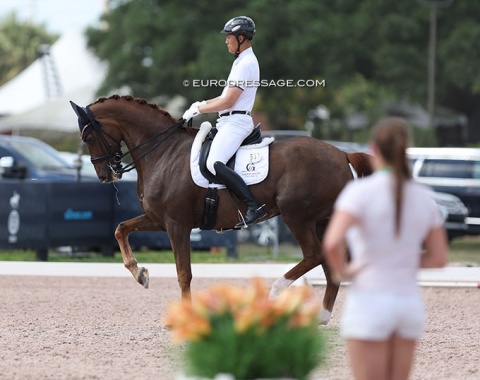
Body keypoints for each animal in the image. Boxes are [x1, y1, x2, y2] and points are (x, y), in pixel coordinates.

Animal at [70, 95, 372, 324]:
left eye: (89, 137)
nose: (105, 175)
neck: (163, 152)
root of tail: (342, 154)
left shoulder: (177, 224)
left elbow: (184, 273)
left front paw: (187, 316)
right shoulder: (158, 219)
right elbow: (121, 229)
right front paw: (140, 273)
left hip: (296, 216)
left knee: (313, 255)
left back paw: (276, 291)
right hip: (322, 221)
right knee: (329, 264)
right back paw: (322, 316)